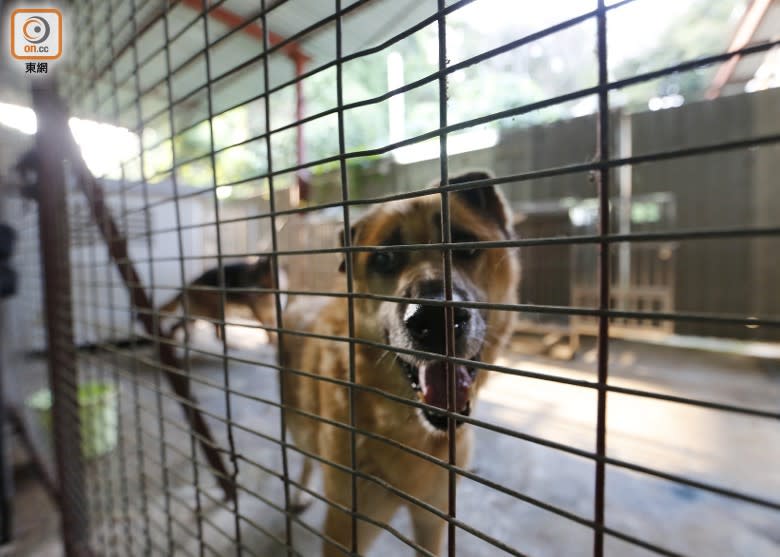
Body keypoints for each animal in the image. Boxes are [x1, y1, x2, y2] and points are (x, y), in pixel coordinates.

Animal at [158, 258, 286, 344]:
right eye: (247, 279)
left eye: (256, 279)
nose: (247, 293)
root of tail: (187, 286)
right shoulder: (260, 314)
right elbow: (267, 329)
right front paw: (272, 342)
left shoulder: (271, 314)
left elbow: (272, 329)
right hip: (217, 308)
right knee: (217, 334)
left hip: (196, 315)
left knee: (178, 326)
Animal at [278, 172, 520, 552]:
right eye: (384, 258)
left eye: (465, 245)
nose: (435, 320)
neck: (409, 428)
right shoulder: (347, 525)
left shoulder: (432, 521)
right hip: (298, 422)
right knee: (305, 455)